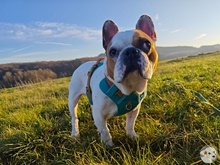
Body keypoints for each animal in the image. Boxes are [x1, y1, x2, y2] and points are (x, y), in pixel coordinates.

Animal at [69, 13, 158, 146]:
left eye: (147, 44)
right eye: (113, 51)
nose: (130, 51)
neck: (126, 87)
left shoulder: (134, 109)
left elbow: (130, 124)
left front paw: (132, 136)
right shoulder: (99, 115)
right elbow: (105, 131)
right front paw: (109, 145)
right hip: (73, 99)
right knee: (74, 117)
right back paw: (75, 133)